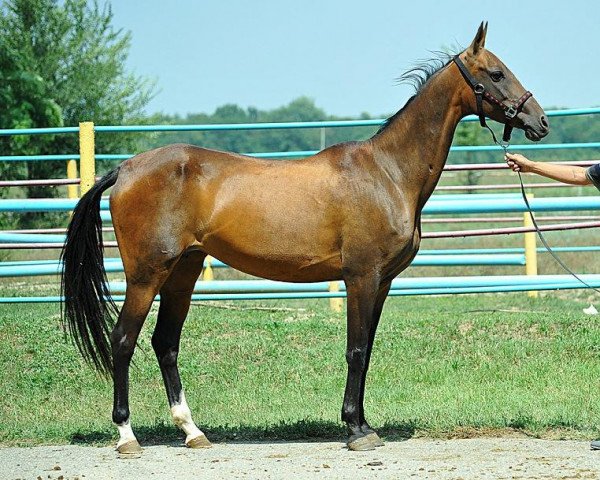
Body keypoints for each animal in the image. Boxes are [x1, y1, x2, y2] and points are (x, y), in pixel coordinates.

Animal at [61, 23, 548, 454]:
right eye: (497, 74)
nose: (540, 122)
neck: (388, 173)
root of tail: (126, 169)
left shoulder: (382, 283)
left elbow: (367, 351)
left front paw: (363, 424)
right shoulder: (361, 277)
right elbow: (356, 350)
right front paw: (355, 431)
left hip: (183, 272)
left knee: (165, 343)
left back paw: (192, 432)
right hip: (147, 274)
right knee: (123, 340)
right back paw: (127, 437)